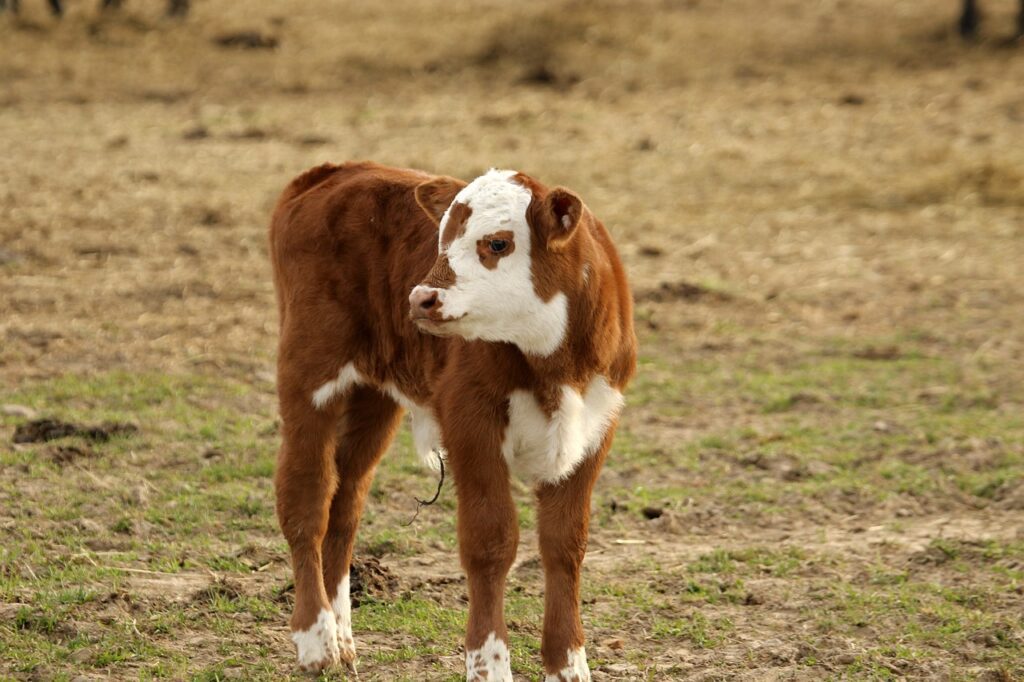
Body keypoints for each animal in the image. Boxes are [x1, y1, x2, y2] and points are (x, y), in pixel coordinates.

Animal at [268, 159, 634, 675]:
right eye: (441, 239)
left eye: (498, 242)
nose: (421, 297)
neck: (555, 362)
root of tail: (333, 172)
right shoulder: (469, 420)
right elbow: (490, 542)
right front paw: (488, 666)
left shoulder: (596, 429)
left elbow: (565, 545)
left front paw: (568, 666)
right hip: (308, 376)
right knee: (307, 499)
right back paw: (316, 642)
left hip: (373, 399)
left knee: (345, 504)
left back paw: (342, 638)